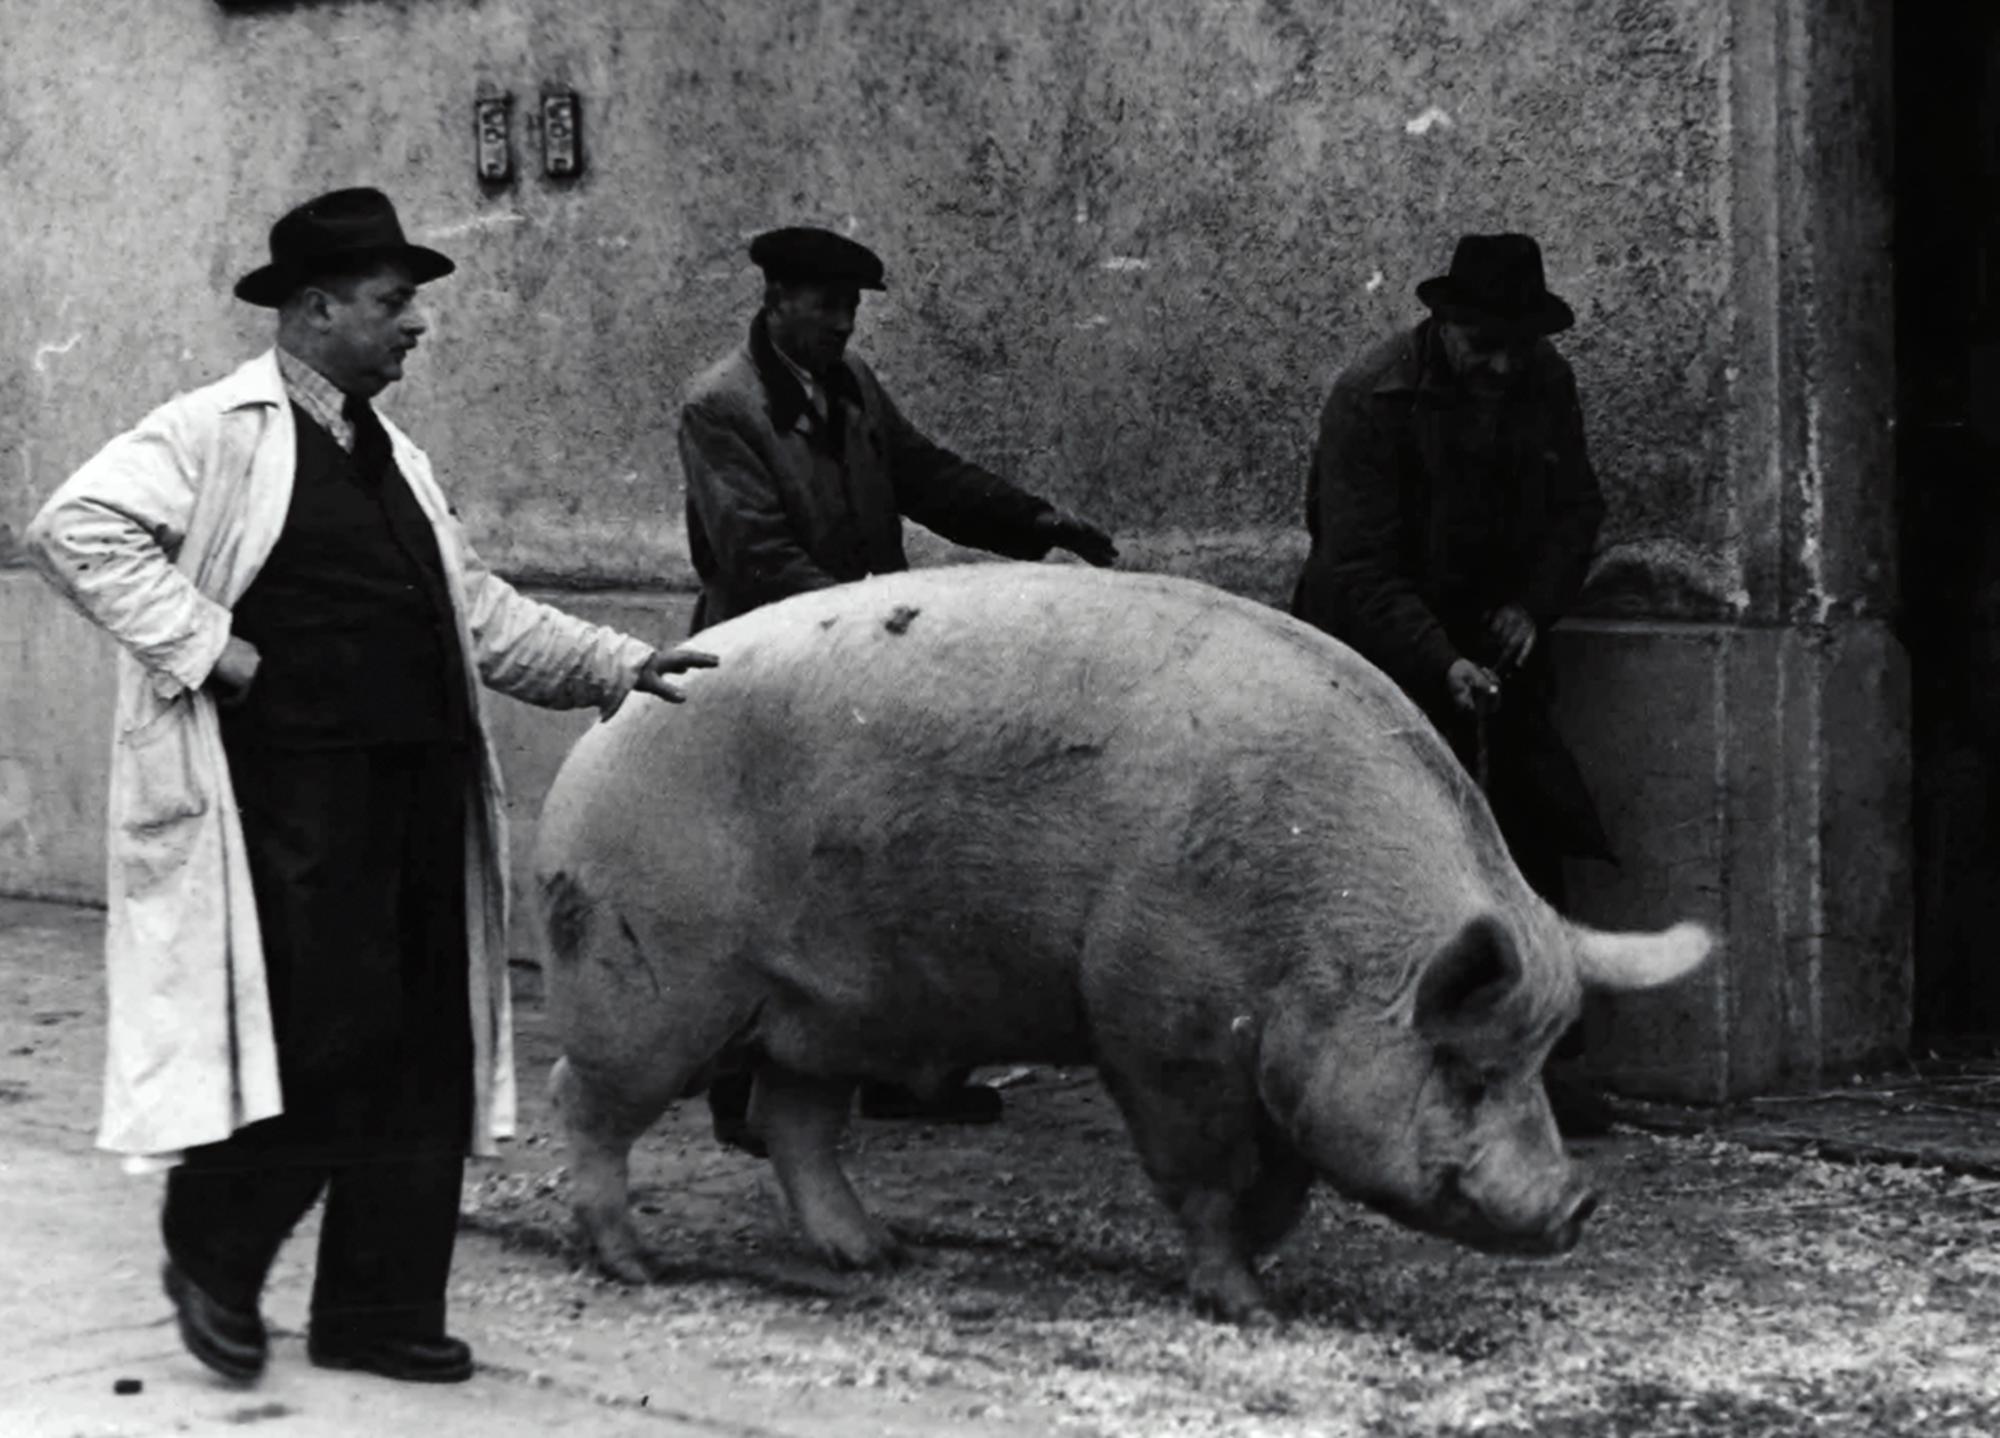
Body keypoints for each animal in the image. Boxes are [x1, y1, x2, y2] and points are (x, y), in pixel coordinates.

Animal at [536, 564, 1720, 1328]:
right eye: (1467, 1068)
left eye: (1539, 1065)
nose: (1577, 1201)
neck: (1317, 935)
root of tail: (598, 735)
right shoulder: (1154, 1025)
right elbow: (1201, 1174)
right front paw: (1247, 1309)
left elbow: (1283, 1183)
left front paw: (1266, 1277)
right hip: (648, 981)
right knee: (585, 1098)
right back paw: (634, 1266)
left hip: (826, 1004)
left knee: (797, 1119)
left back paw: (876, 1255)